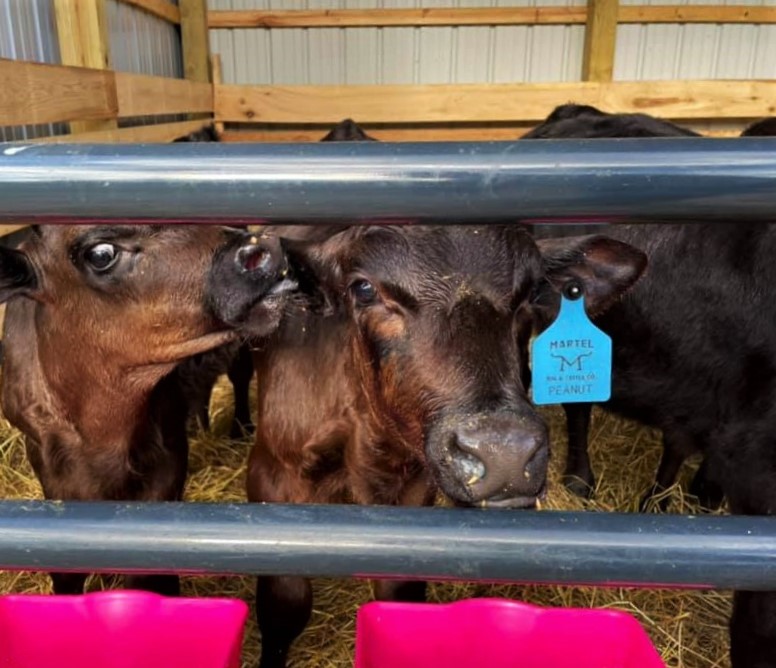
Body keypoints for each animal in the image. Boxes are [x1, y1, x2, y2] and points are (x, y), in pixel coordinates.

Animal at [0, 225, 296, 595]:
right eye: (101, 254)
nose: (264, 247)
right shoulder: (49, 469)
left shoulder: (167, 457)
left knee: (239, 376)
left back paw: (240, 428)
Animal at [236, 223, 646, 668]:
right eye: (363, 289)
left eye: (532, 291)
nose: (504, 452)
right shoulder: (271, 475)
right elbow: (285, 604)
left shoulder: (416, 490)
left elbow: (401, 594)